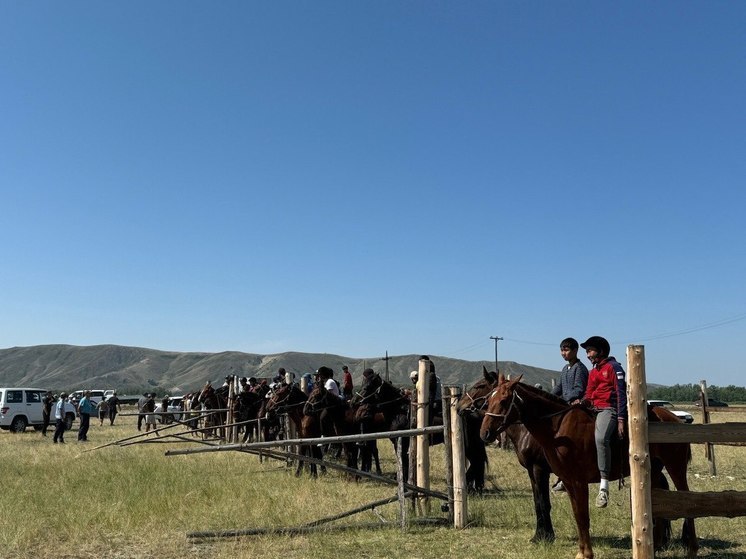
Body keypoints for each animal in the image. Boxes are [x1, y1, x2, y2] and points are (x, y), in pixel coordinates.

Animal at [454, 368, 552, 544]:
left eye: (480, 385)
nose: (458, 406)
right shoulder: (532, 470)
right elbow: (538, 502)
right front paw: (540, 535)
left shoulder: (540, 469)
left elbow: (543, 503)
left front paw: (546, 537)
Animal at [480, 376, 696, 559]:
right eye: (489, 399)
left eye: (504, 400)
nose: (485, 433)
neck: (558, 428)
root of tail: (676, 419)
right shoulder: (566, 481)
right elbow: (575, 515)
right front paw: (580, 552)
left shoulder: (573, 480)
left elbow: (581, 515)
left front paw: (585, 553)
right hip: (654, 472)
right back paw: (657, 545)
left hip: (676, 468)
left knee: (687, 500)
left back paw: (691, 546)